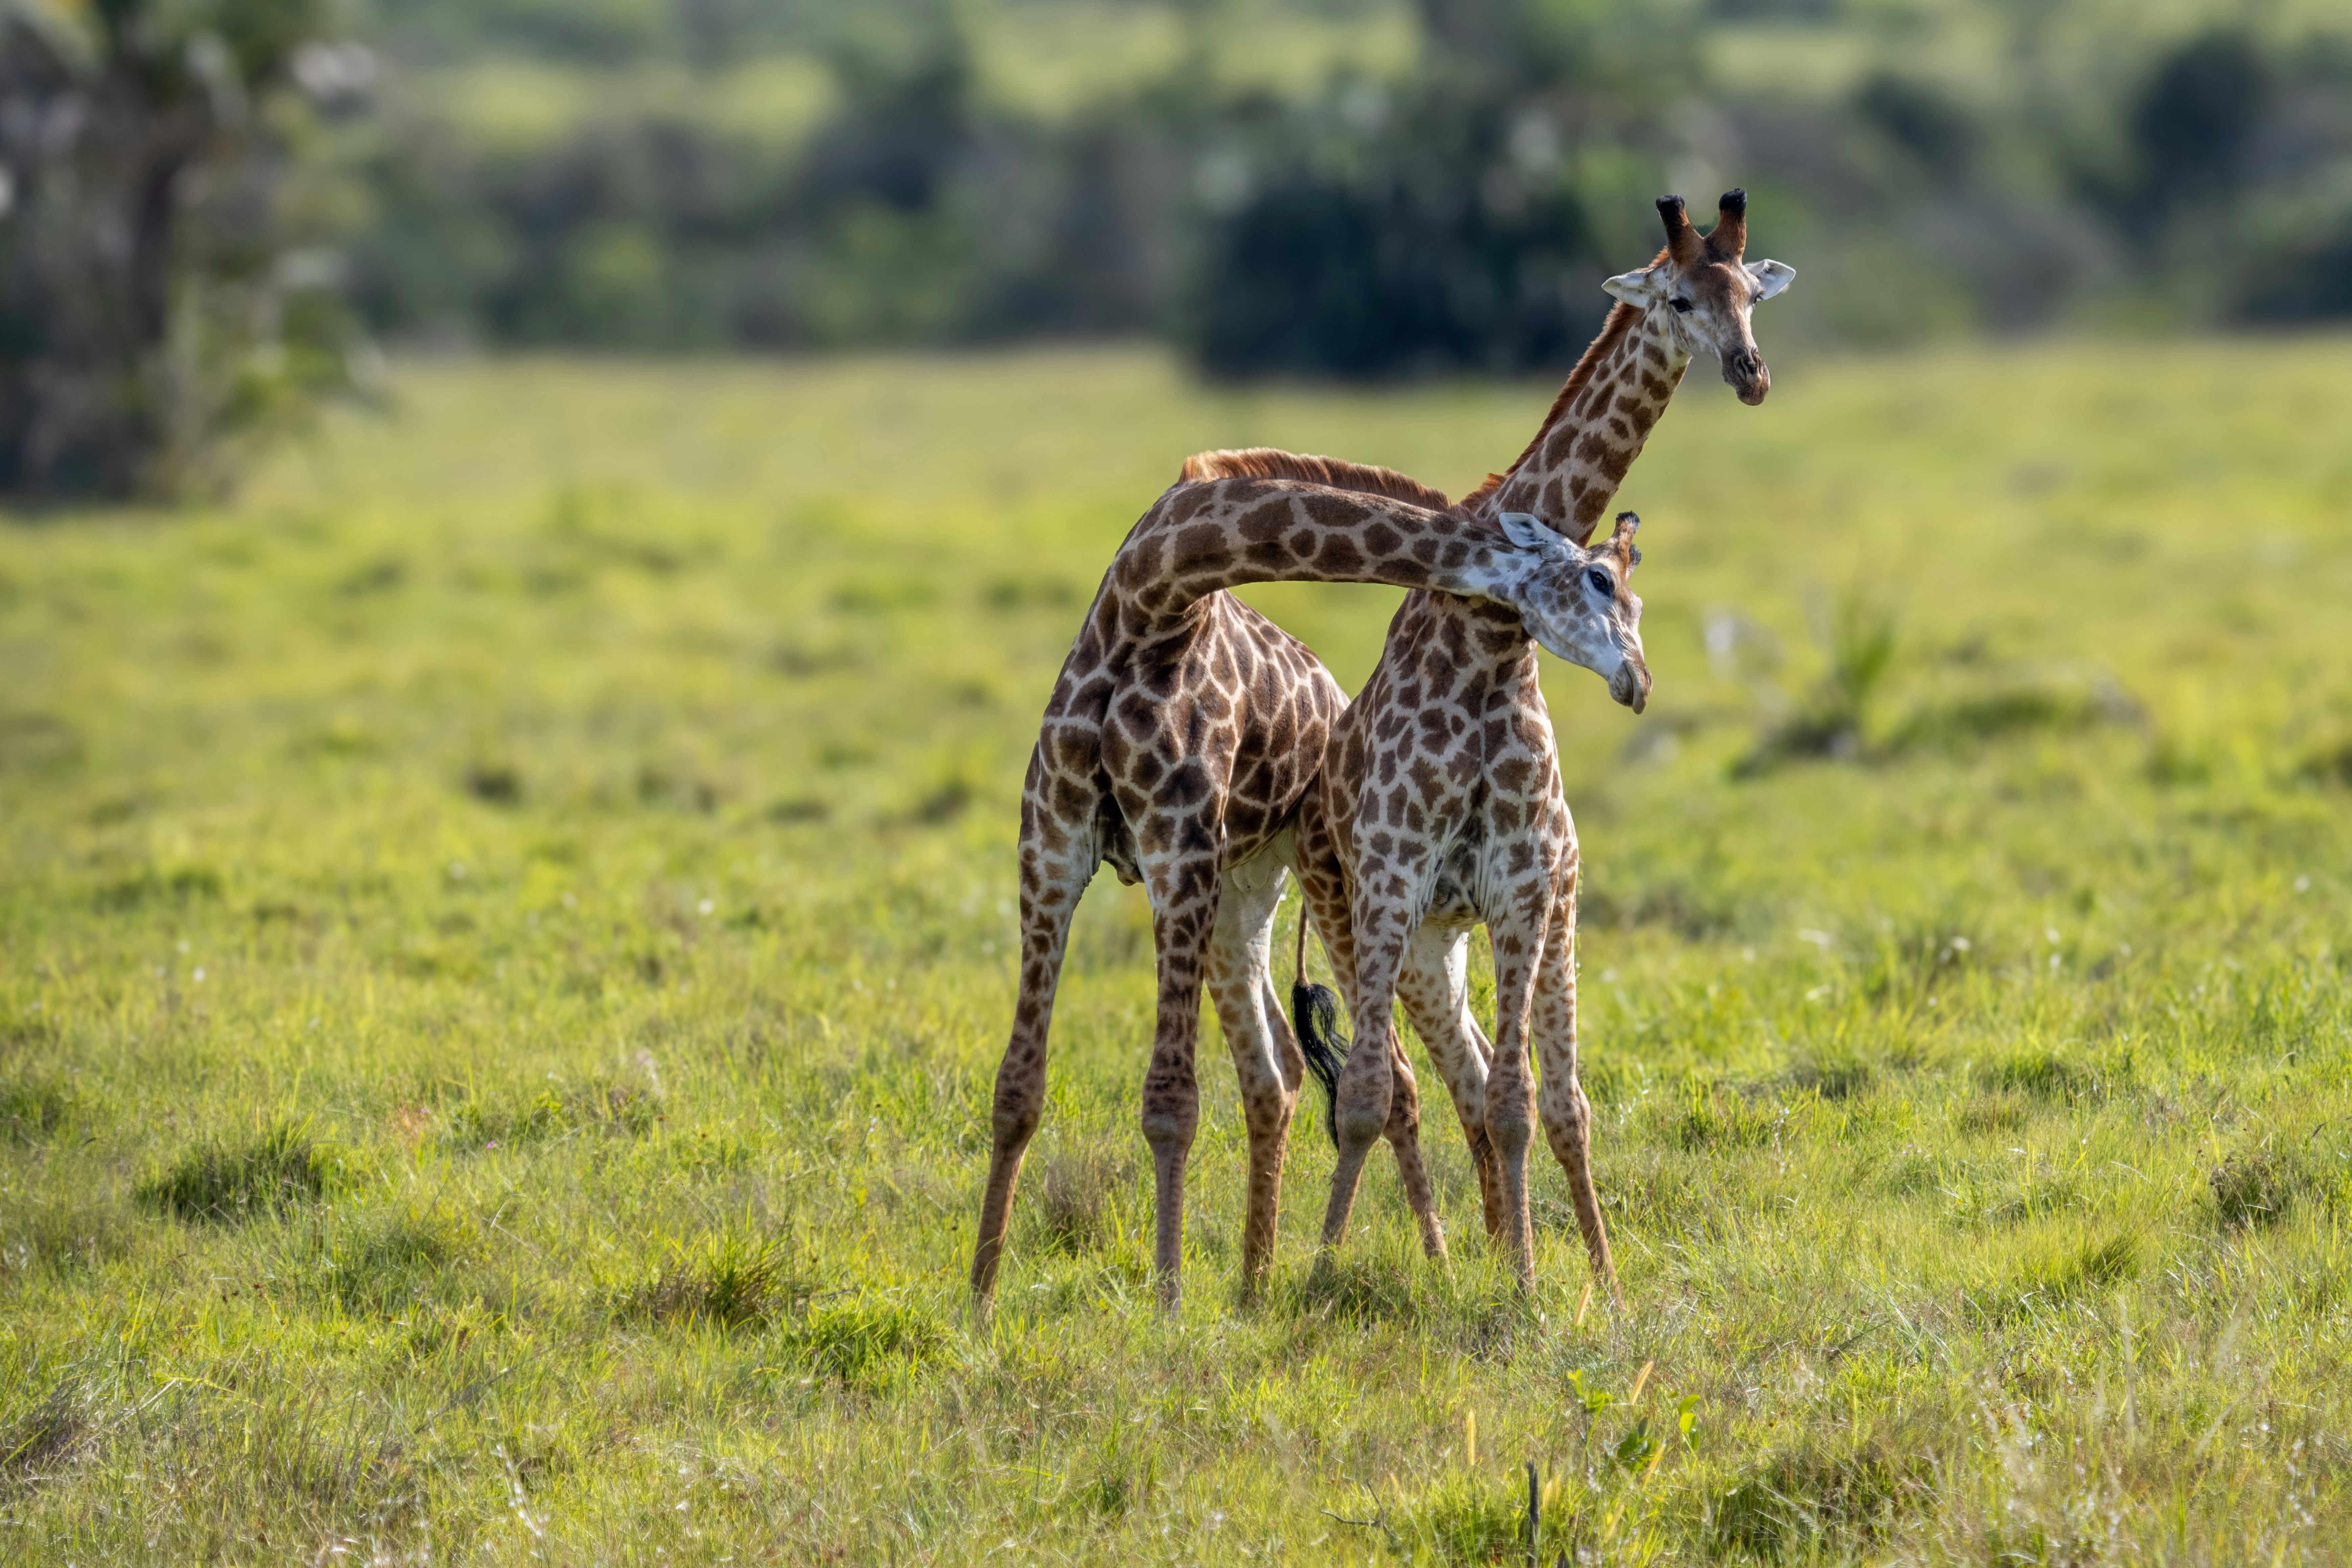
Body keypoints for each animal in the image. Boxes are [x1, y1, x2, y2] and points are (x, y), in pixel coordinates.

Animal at [968, 458, 1651, 1312]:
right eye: (1600, 578)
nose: (1639, 680)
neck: (1153, 592)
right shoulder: (1050, 845)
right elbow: (1017, 1088)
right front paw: (979, 1299)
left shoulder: (1177, 850)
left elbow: (1170, 1101)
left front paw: (1167, 1305)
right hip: (1246, 898)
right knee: (1283, 1072)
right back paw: (1259, 1283)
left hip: (1323, 893)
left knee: (1386, 1075)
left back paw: (1414, 1267)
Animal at [1287, 190, 1795, 1293]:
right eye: (1679, 297)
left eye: (1751, 294)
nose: (1750, 374)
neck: (1485, 641)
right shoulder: (1393, 879)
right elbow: (1365, 1094)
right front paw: (1317, 1276)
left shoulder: (1522, 882)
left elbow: (1524, 1101)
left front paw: (1530, 1282)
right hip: (1369, 925)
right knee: (1413, 1085)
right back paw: (1428, 1254)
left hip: (1457, 937)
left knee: (1501, 1089)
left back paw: (1523, 1258)